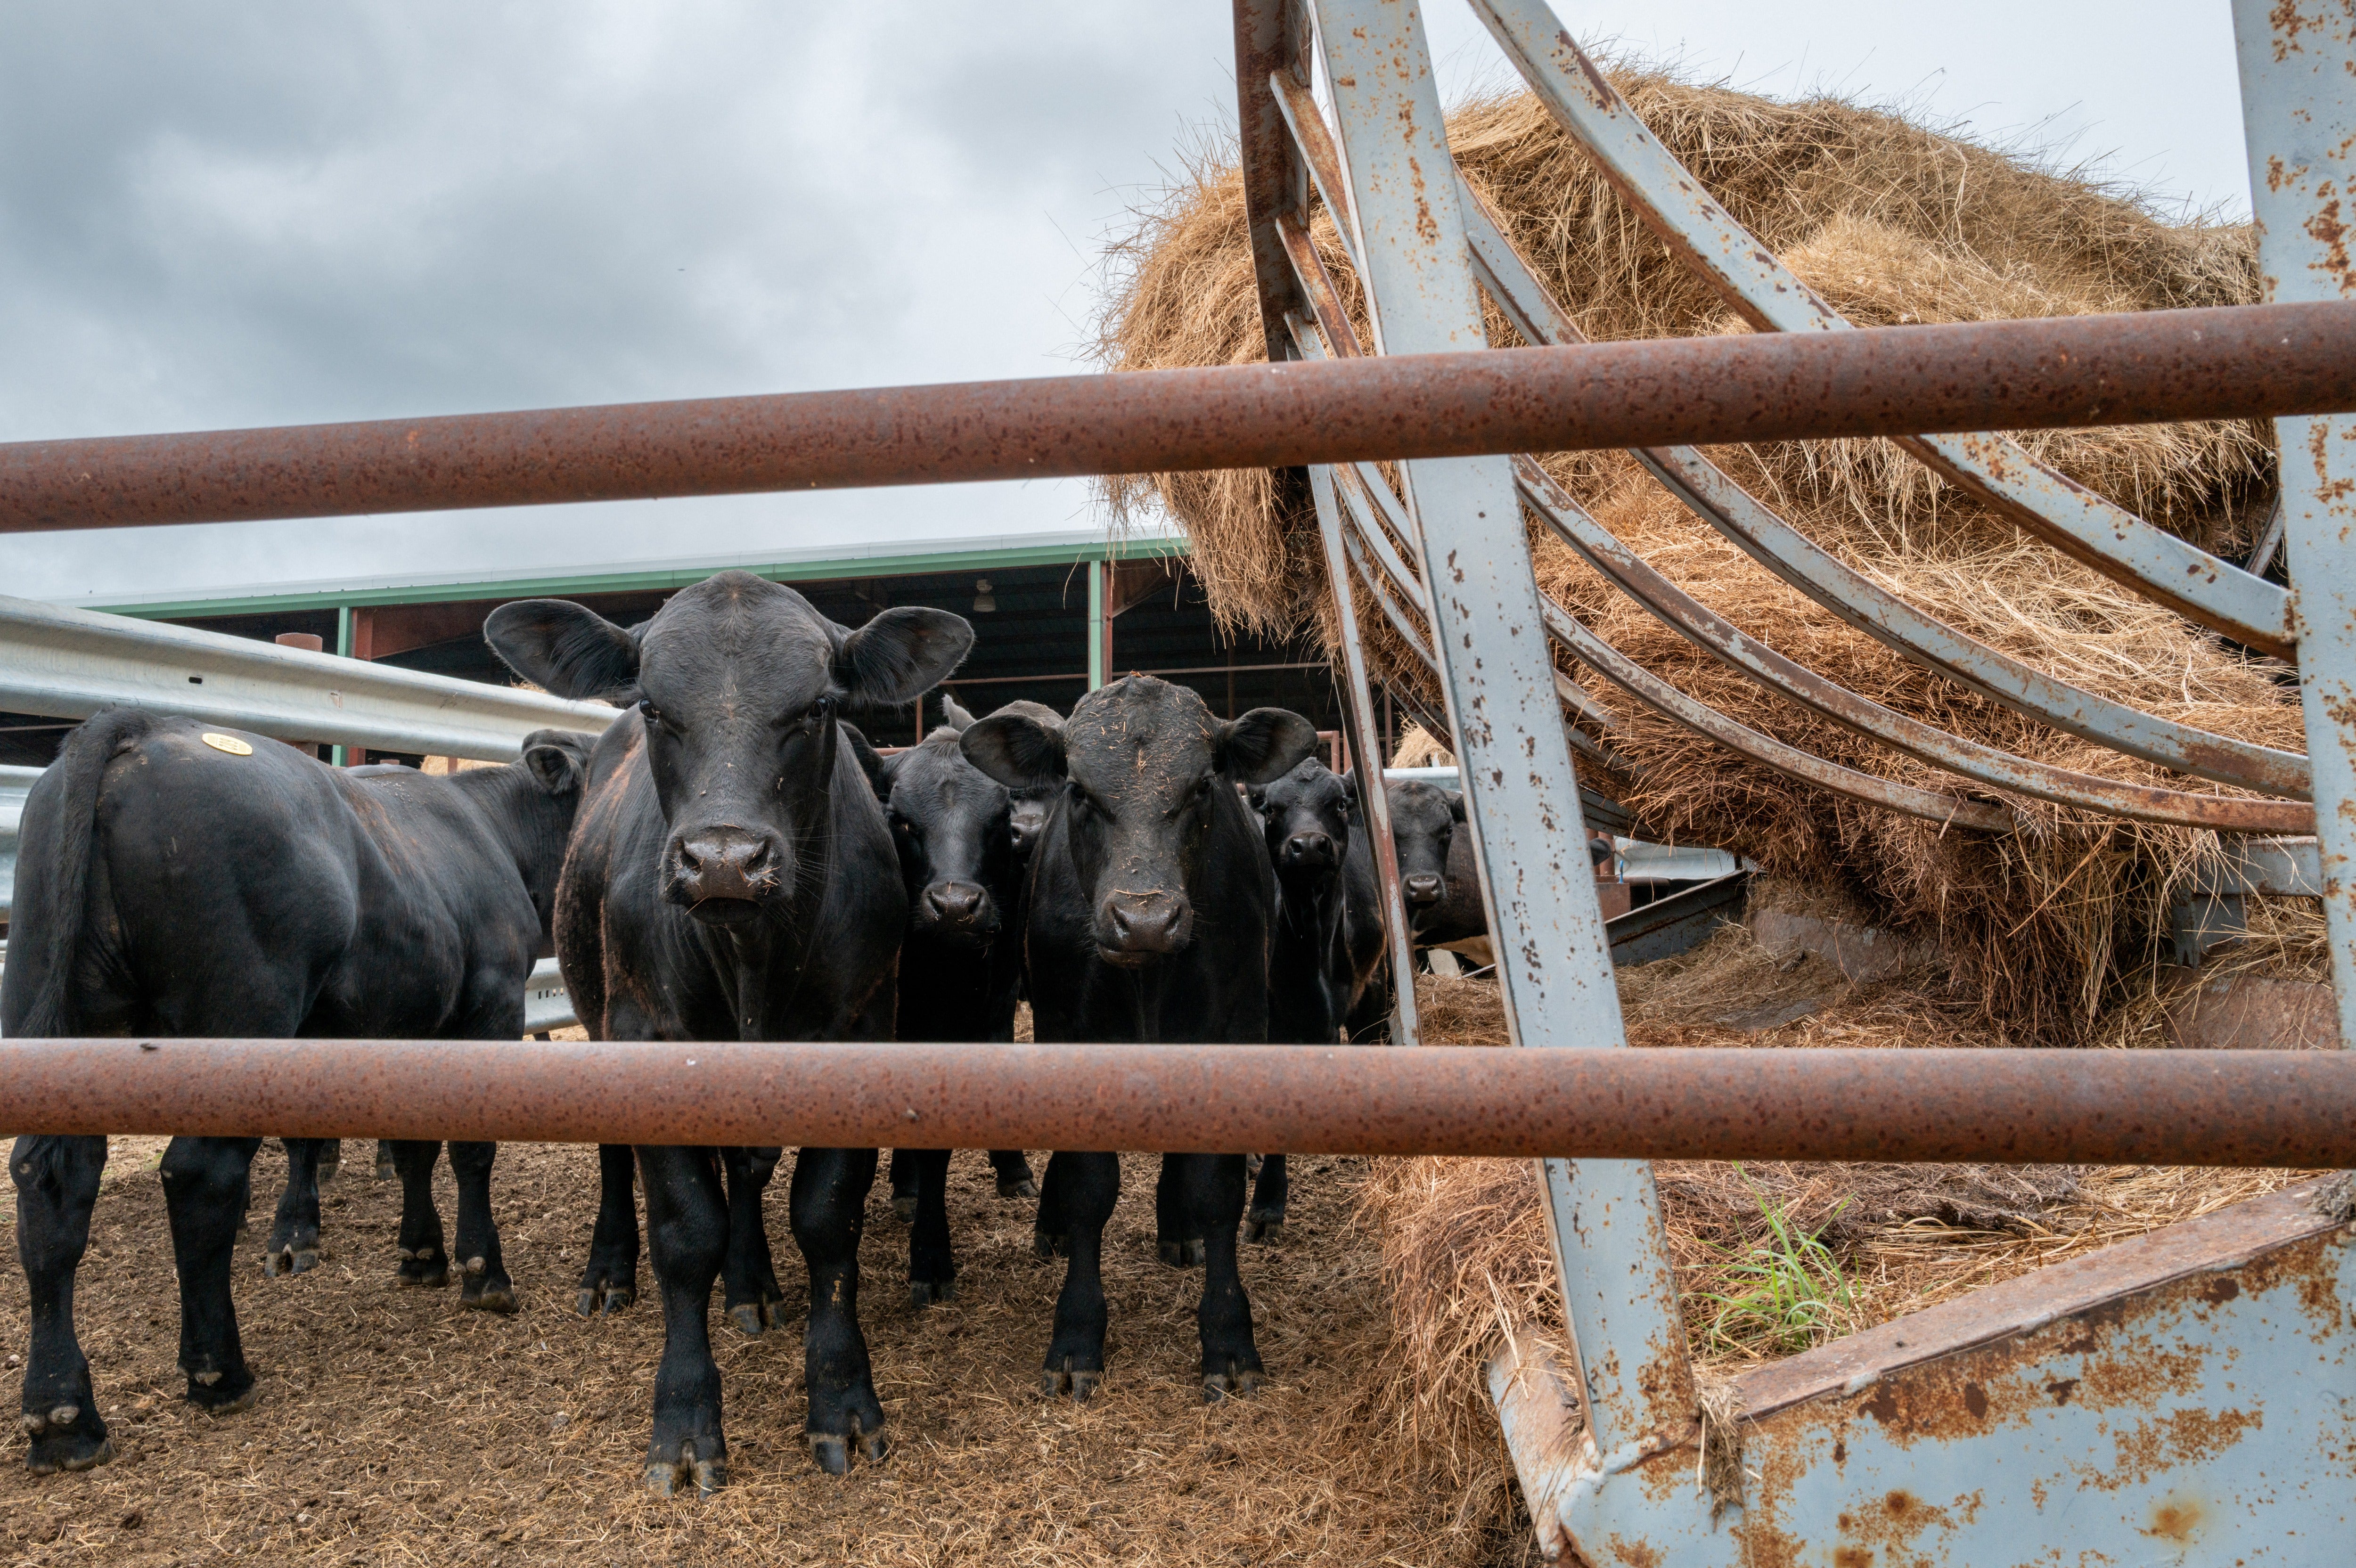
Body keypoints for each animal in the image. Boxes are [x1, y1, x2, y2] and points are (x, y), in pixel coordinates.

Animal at [5, 710, 590, 1477]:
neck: (493, 832)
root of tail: (141, 730)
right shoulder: (488, 1008)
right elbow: (469, 1149)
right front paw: (481, 1273)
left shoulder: (399, 1029)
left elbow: (413, 1148)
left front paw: (421, 1255)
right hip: (240, 1015)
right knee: (199, 1176)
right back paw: (218, 1371)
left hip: (62, 1018)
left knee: (55, 1183)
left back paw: (61, 1415)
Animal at [483, 570, 971, 1493]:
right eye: (654, 705)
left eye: (817, 705)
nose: (724, 861)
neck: (751, 956)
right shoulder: (648, 1038)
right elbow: (685, 1231)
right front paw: (683, 1423)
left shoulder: (858, 1036)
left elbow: (826, 1219)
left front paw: (842, 1401)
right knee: (622, 1162)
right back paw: (610, 1271)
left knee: (746, 1172)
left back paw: (753, 1286)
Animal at [960, 676, 1316, 1403]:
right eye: (1079, 789)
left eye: (1203, 785)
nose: (1144, 919)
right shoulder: (1066, 1033)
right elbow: (1089, 1185)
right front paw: (1075, 1335)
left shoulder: (1232, 1033)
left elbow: (1217, 1189)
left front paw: (1228, 1338)